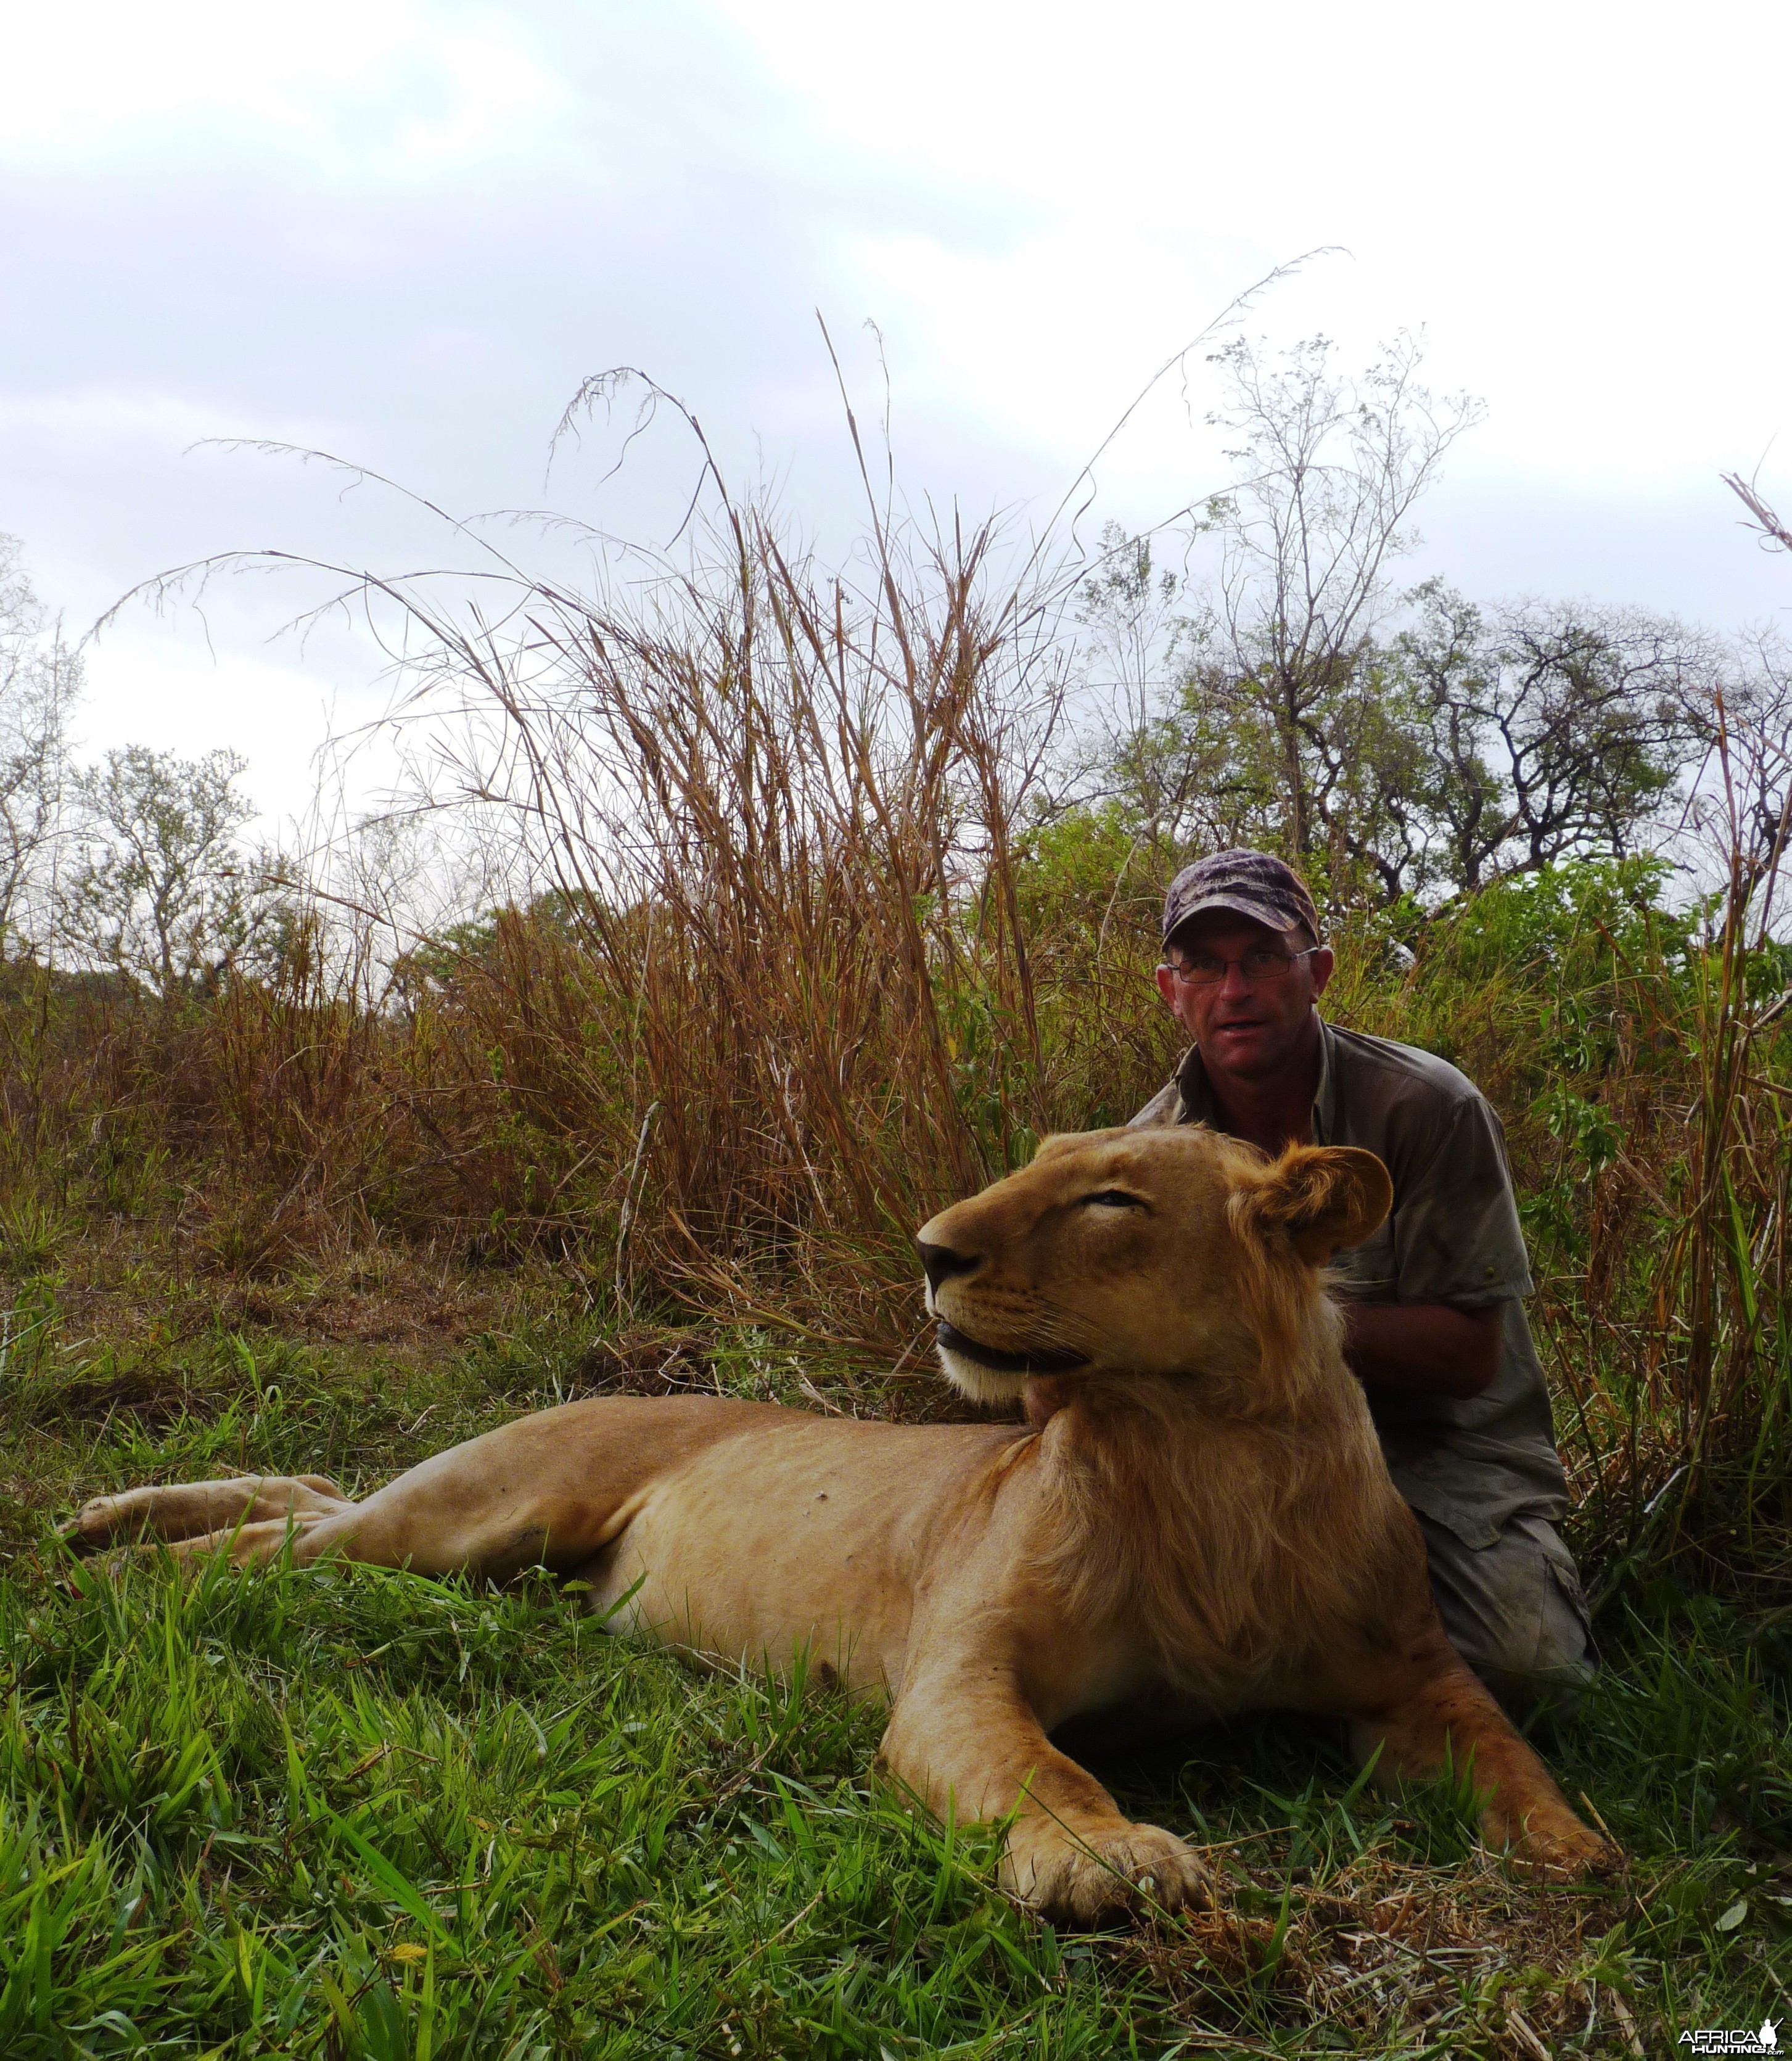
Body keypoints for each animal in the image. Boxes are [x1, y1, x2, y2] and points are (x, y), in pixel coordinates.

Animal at [63, 1129, 1623, 1912]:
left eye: (1111, 1198)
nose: (929, 1248)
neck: (1200, 1456)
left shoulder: (1408, 1671)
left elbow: (1505, 1743)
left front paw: (1574, 1848)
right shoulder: (956, 1673)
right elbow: (1041, 1768)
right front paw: (1109, 1863)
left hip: (472, 1544)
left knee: (312, 1496)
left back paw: (102, 1528)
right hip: (481, 1511)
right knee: (290, 1536)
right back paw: (113, 1558)